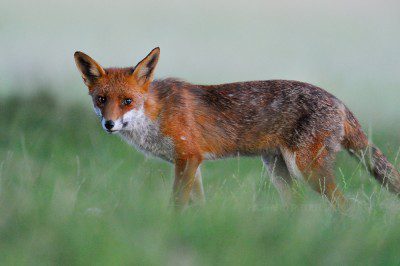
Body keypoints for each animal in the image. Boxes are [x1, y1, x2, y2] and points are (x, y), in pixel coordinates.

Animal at [74, 47, 400, 210]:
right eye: (101, 100)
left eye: (127, 101)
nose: (109, 124)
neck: (156, 113)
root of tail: (340, 102)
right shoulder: (192, 163)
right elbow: (198, 204)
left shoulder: (188, 158)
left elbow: (176, 202)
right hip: (279, 170)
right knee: (297, 206)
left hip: (308, 168)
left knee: (345, 206)